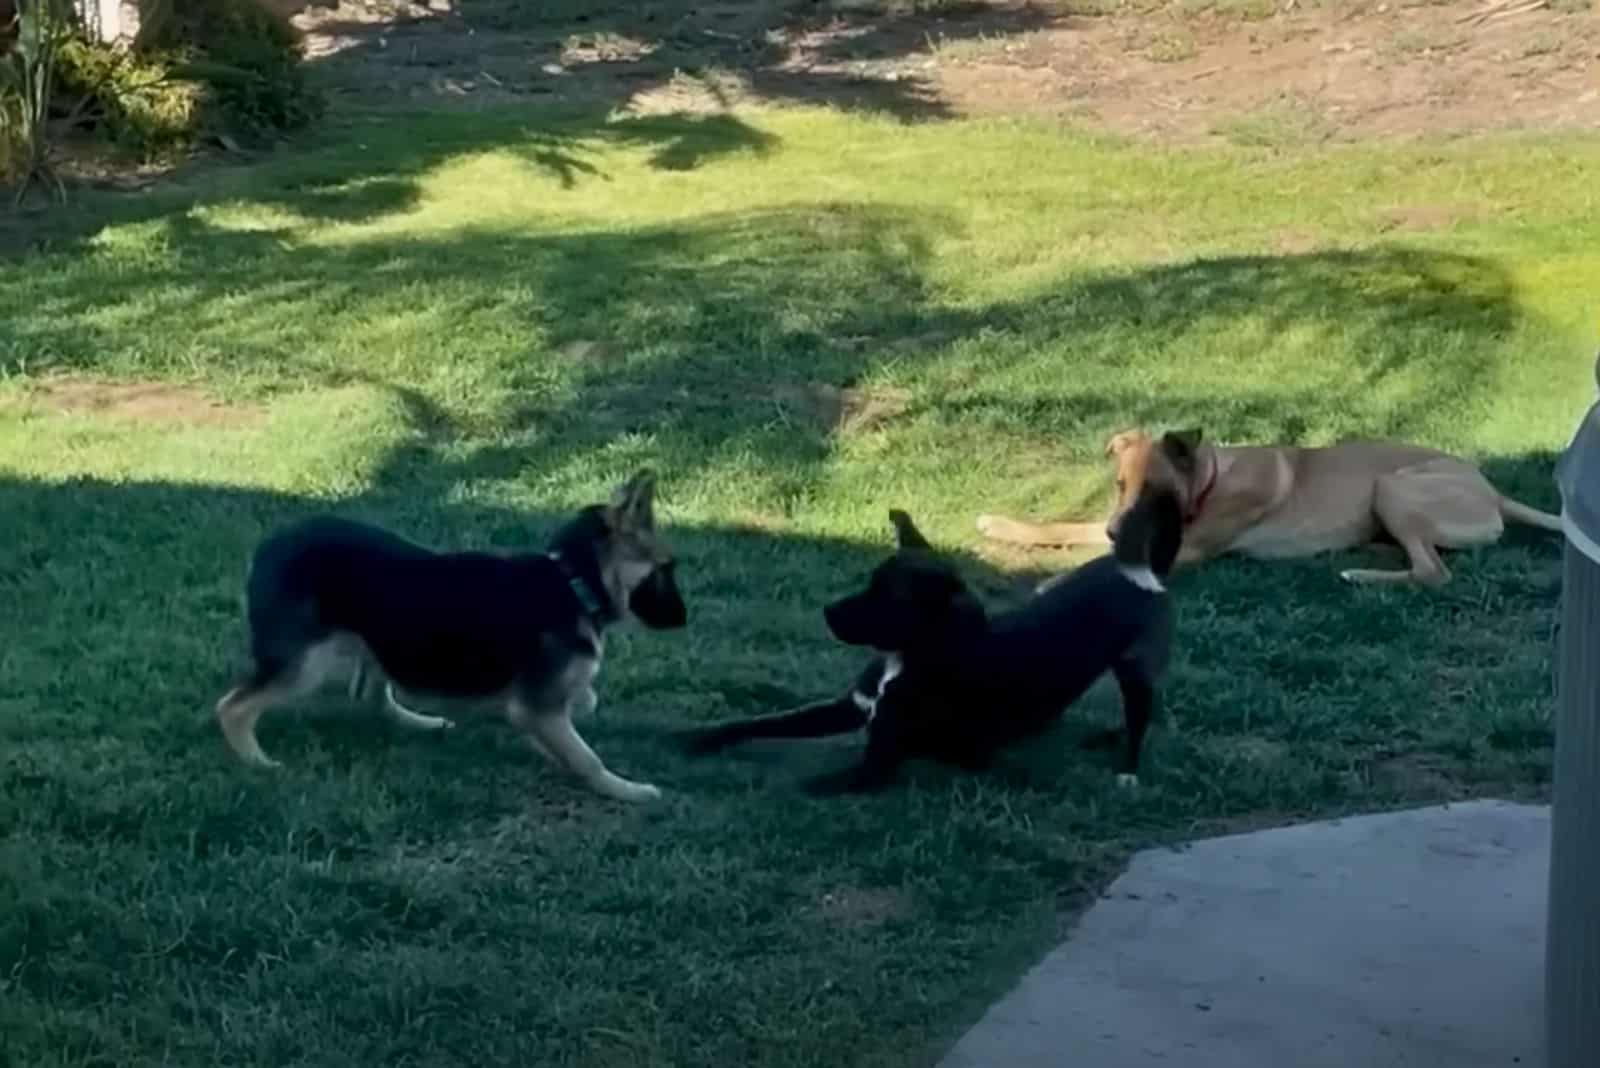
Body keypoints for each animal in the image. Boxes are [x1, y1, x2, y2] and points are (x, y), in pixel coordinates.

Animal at [217, 473, 681, 799]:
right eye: (666, 568)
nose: (682, 619)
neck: (573, 581)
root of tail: (266, 548)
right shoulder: (538, 709)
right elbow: (587, 758)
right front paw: (625, 790)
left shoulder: (545, 711)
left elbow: (579, 716)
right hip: (308, 664)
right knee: (233, 707)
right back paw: (257, 762)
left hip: (382, 638)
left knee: (370, 695)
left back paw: (421, 723)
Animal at [681, 492, 1184, 793]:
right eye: (868, 583)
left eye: (887, 598)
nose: (826, 612)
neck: (913, 656)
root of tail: (1145, 573)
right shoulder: (848, 707)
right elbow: (765, 721)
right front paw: (702, 737)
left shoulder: (877, 765)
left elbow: (804, 783)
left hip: (1137, 673)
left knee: (1142, 721)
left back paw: (1126, 769)